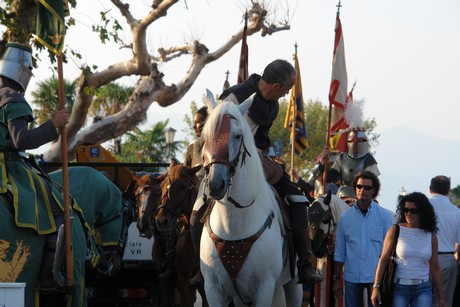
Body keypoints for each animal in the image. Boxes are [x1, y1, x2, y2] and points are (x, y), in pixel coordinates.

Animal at [199, 94, 302, 307]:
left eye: (238, 136)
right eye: (206, 137)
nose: (215, 184)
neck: (234, 227)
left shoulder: (265, 288)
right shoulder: (213, 289)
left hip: (293, 285)